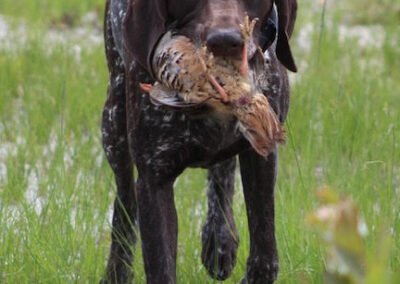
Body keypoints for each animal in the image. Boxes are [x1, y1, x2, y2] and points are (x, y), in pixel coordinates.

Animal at [101, 0, 296, 282]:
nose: (225, 41)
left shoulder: (261, 155)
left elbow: (265, 254)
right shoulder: (153, 179)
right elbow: (160, 266)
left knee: (222, 174)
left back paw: (219, 240)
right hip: (113, 125)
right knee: (125, 201)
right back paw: (117, 271)